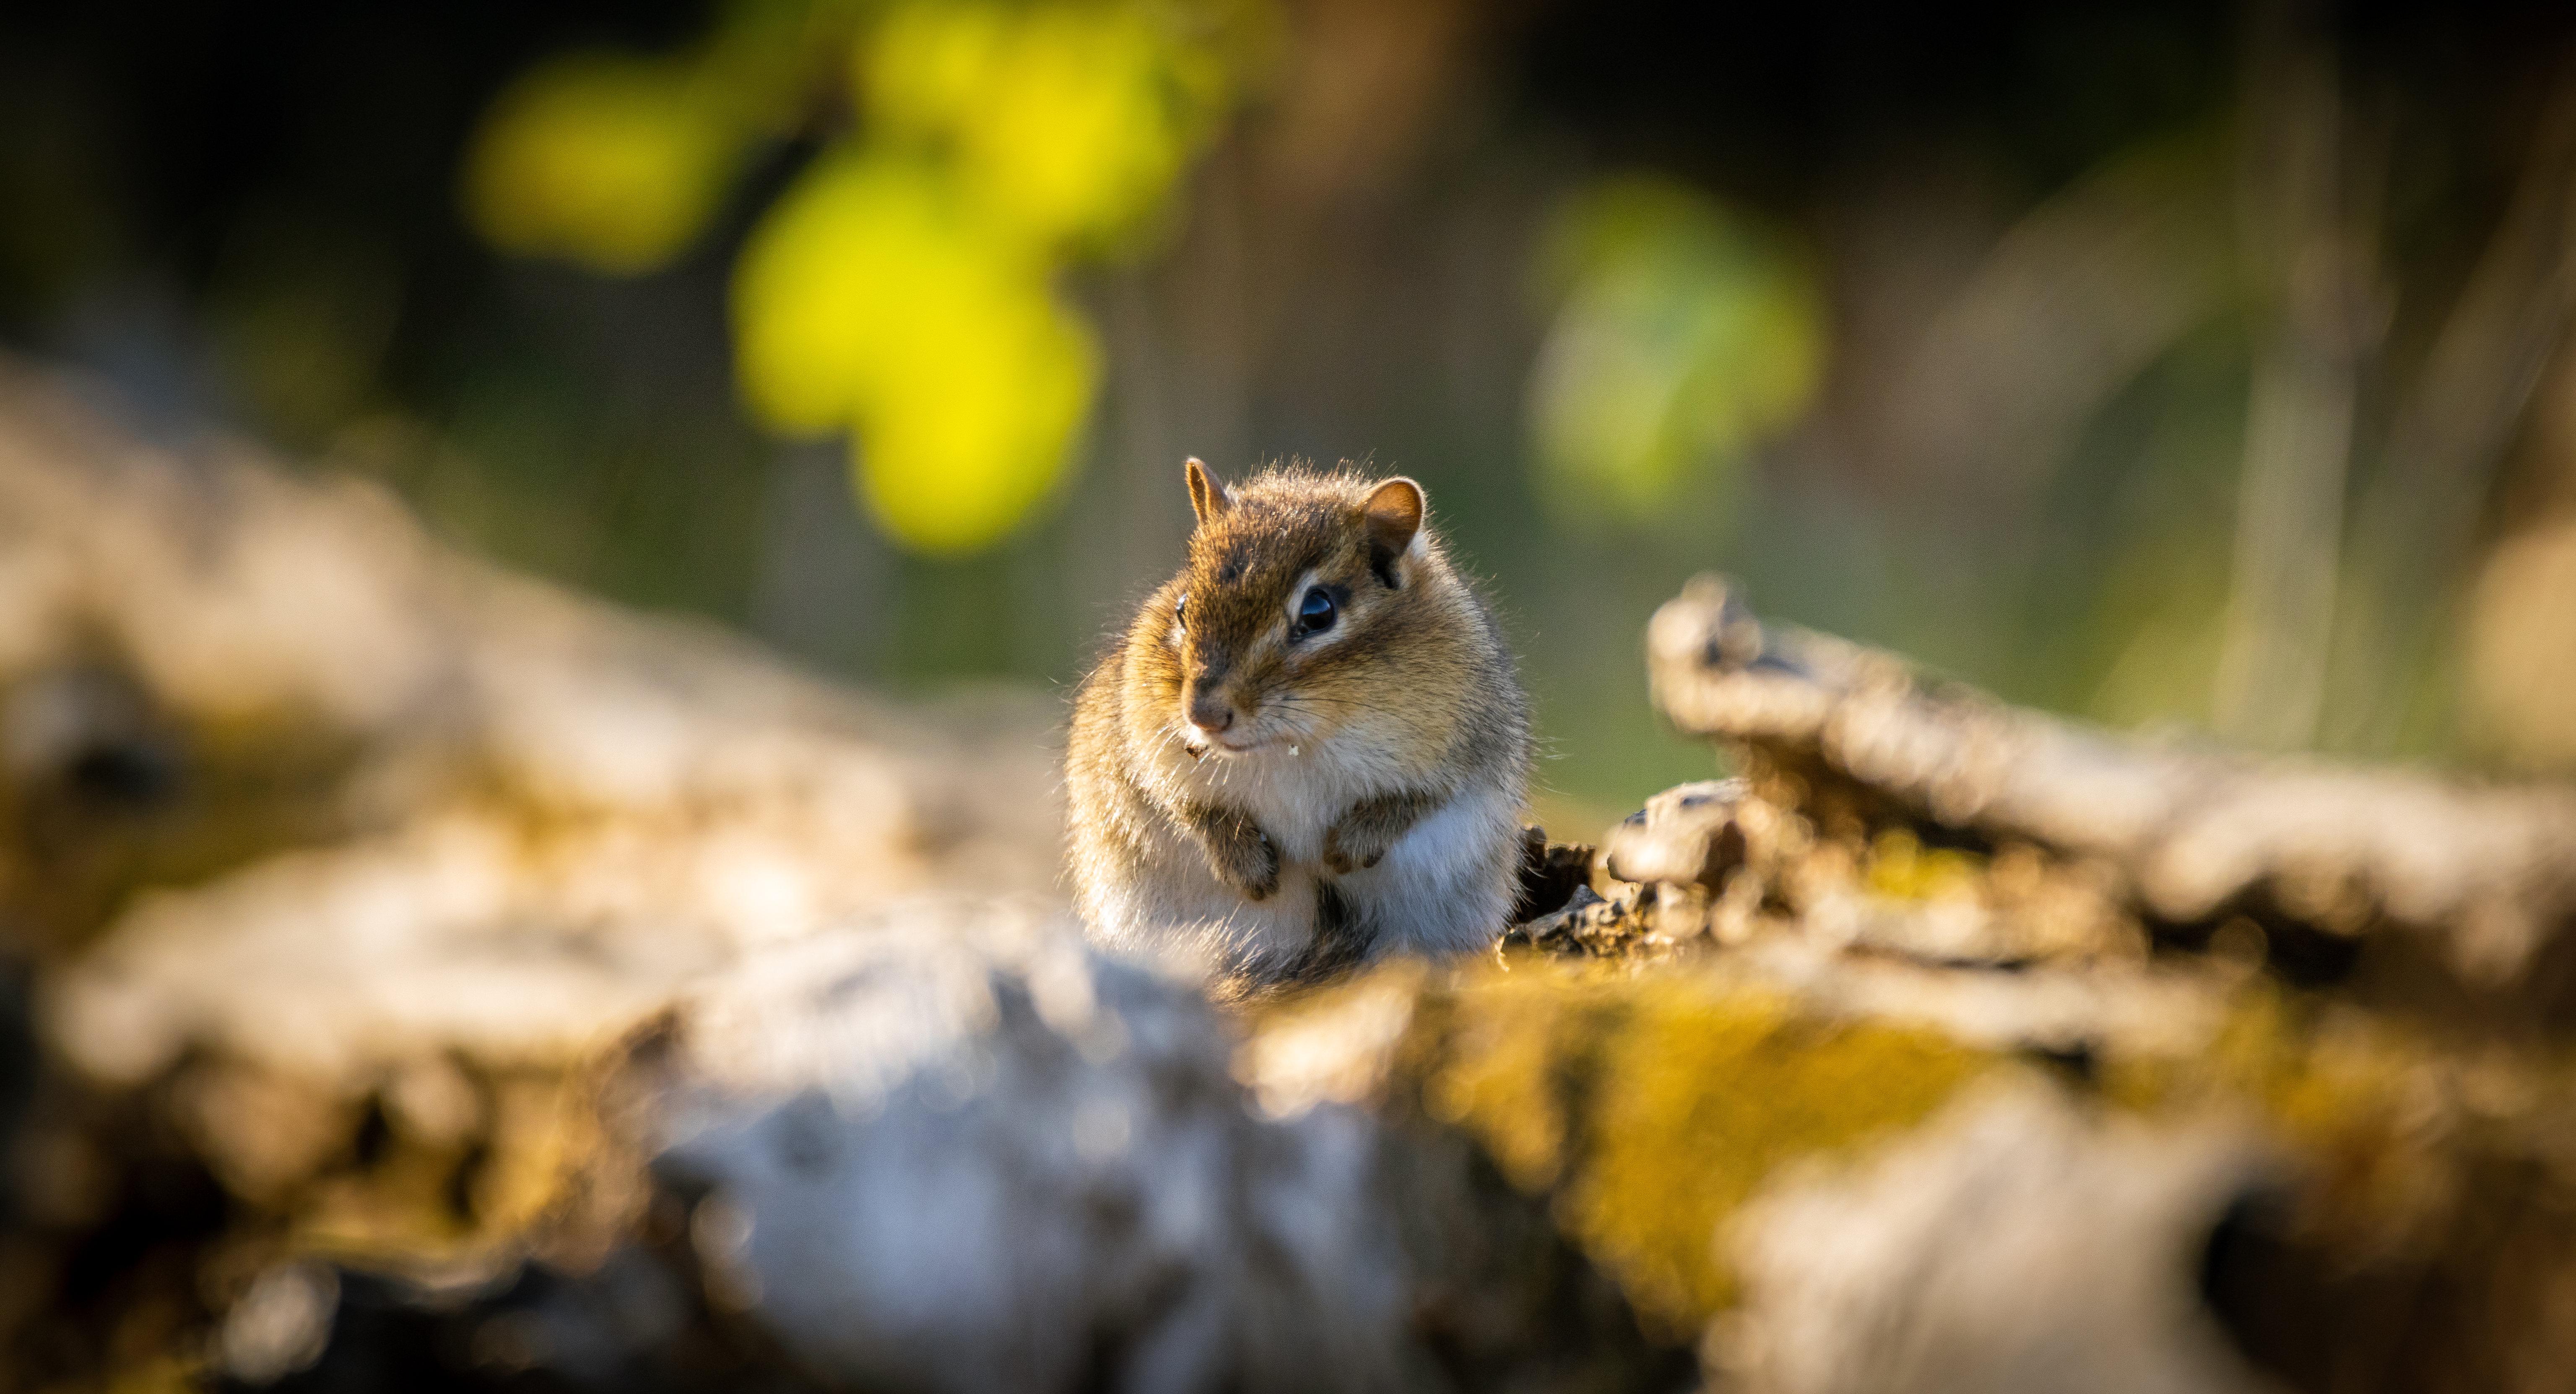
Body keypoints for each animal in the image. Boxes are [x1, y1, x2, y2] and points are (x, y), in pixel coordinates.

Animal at [1065, 457, 1532, 989]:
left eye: (1318, 612)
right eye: (1182, 609)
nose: (1202, 715)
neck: (1295, 741)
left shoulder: (1467, 751)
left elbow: (1417, 799)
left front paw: (1348, 846)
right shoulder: (1142, 743)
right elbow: (1182, 803)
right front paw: (1242, 861)